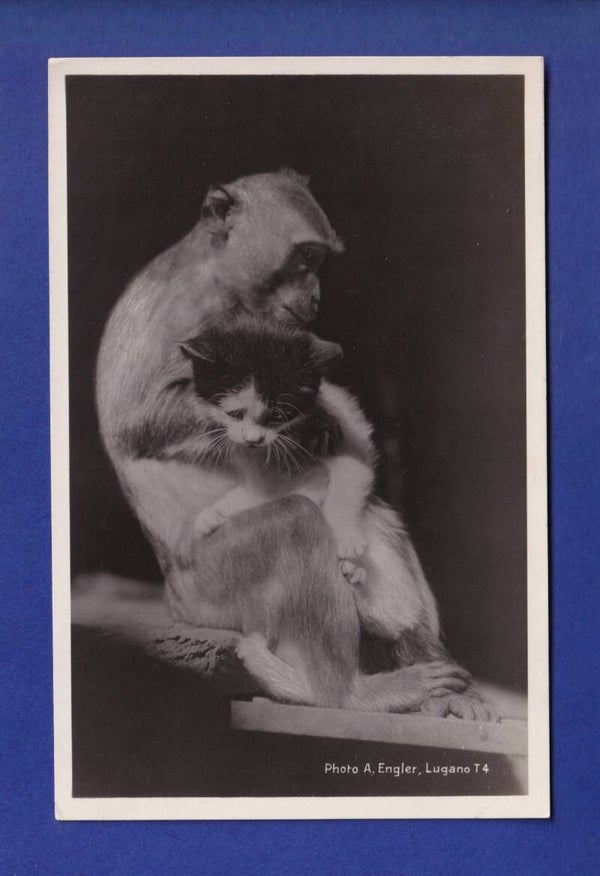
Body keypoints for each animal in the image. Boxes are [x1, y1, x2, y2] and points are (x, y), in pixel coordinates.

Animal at [95, 168, 494, 719]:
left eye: (320, 261)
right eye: (305, 257)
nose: (316, 295)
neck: (214, 275)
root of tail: (174, 600)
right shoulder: (193, 312)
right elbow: (138, 421)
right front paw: (310, 417)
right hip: (212, 593)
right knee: (295, 524)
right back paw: (352, 694)